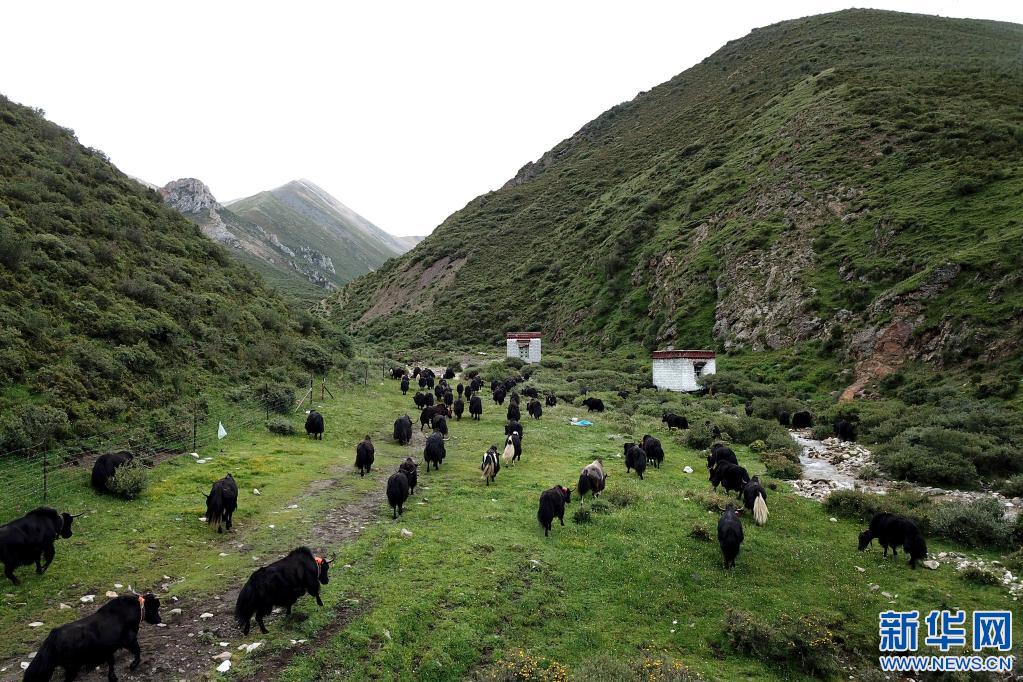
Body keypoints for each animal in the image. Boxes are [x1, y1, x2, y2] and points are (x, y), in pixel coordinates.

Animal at [24, 593, 162, 682]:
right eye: (155, 607)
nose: (160, 619)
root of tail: (53, 637)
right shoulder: (130, 640)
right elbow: (137, 652)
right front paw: (133, 666)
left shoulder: (109, 649)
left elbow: (111, 663)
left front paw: (113, 678)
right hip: (72, 667)